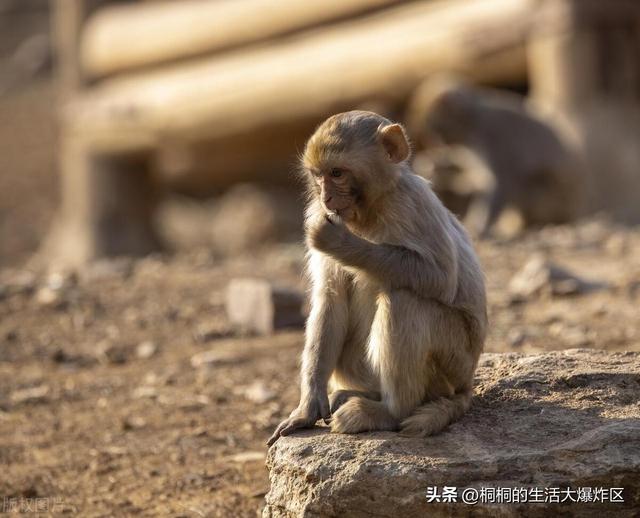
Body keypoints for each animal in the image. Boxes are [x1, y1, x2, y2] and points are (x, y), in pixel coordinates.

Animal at [268, 110, 488, 446]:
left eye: (337, 173)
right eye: (318, 176)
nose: (326, 197)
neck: (370, 209)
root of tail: (467, 385)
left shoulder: (413, 203)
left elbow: (441, 278)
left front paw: (339, 242)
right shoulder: (315, 211)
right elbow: (331, 298)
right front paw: (308, 407)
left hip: (455, 362)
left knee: (404, 299)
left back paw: (389, 412)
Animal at [408, 75, 588, 238]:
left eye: (434, 127)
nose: (436, 142)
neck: (473, 122)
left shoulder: (492, 139)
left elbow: (502, 182)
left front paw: (480, 227)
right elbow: (477, 177)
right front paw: (438, 168)